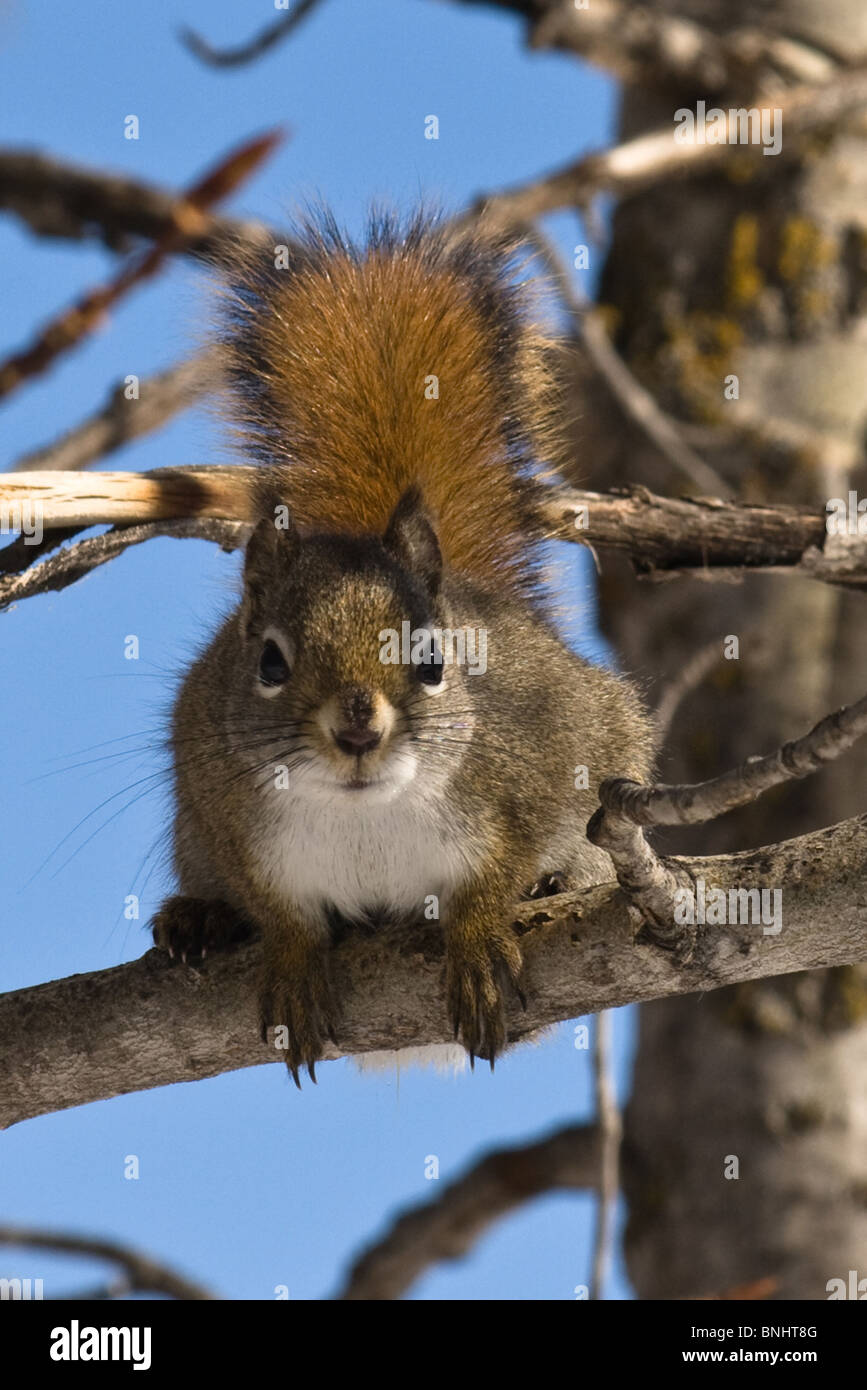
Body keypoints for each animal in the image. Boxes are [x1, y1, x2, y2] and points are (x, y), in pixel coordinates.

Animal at [148, 211, 653, 1078]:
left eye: (433, 662)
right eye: (269, 662)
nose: (358, 729)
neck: (363, 814)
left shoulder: (532, 769)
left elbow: (496, 875)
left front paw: (480, 936)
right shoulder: (225, 809)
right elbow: (281, 913)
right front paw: (288, 956)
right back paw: (200, 919)